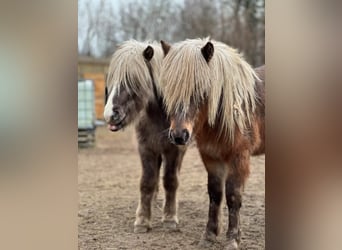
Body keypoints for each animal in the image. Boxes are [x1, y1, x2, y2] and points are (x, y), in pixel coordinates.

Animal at [103, 40, 187, 233]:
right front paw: (142, 220)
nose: (109, 114)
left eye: (132, 80)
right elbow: (147, 182)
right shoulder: (146, 148)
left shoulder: (174, 150)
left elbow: (171, 181)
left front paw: (169, 218)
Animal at [159, 38, 266, 249]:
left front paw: (232, 239)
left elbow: (233, 196)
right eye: (170, 89)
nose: (179, 135)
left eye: (201, 89)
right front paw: (209, 235)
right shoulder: (211, 157)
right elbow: (215, 193)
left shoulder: (239, 157)